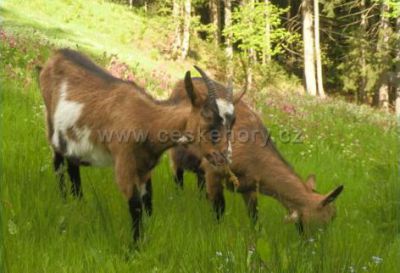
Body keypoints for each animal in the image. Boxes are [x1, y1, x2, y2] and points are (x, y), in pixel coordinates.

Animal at [38, 49, 241, 240]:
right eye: (208, 118)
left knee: (72, 165)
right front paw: (135, 248)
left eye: (232, 123)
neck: (147, 120)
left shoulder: (144, 167)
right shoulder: (124, 163)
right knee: (58, 164)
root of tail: (56, 55)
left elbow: (148, 201)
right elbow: (135, 205)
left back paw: (79, 203)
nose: (224, 157)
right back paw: (65, 201)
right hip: (52, 126)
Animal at [169, 78, 344, 232]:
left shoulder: (250, 185)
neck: (253, 154)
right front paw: (217, 231)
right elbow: (219, 209)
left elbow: (254, 216)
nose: (314, 244)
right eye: (327, 219)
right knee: (178, 174)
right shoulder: (214, 171)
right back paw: (178, 197)